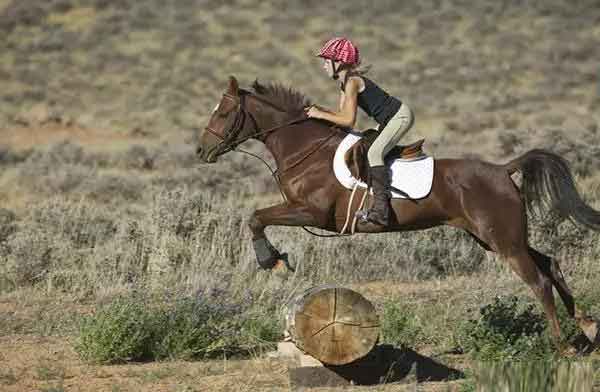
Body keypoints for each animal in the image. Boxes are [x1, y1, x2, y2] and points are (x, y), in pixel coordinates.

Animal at [197, 76, 600, 350]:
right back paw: (587, 327)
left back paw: (562, 345)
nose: (201, 150)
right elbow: (257, 217)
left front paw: (272, 260)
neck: (305, 150)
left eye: (224, 111)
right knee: (551, 263)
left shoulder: (310, 212)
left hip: (503, 240)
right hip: (495, 237)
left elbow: (256, 217)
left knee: (539, 281)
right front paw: (276, 259)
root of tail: (503, 169)